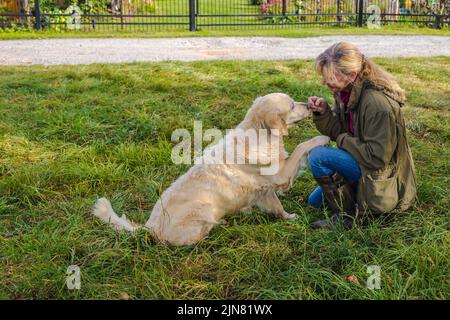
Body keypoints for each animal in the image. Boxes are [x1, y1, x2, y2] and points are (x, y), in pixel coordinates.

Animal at [92, 92, 330, 245]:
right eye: (292, 106)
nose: (309, 105)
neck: (261, 135)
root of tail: (150, 227)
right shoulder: (280, 174)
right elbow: (301, 147)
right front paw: (322, 138)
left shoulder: (265, 189)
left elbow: (277, 206)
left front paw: (288, 217)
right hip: (203, 209)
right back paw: (219, 225)